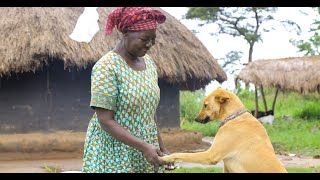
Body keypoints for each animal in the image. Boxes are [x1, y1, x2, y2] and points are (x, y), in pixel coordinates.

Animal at [160, 88, 288, 173]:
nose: (195, 119)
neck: (233, 117)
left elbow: (180, 154)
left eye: (205, 105)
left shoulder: (210, 155)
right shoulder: (226, 165)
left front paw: (165, 158)